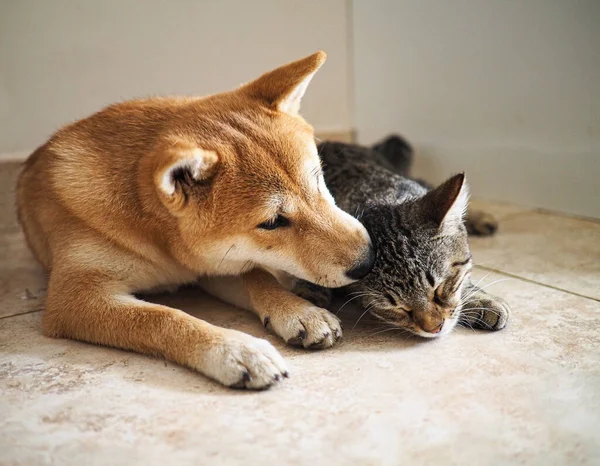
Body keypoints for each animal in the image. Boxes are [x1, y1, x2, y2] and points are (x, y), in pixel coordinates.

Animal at [16, 52, 372, 390]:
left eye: (319, 181)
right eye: (272, 222)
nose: (367, 261)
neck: (161, 243)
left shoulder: (214, 265)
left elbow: (257, 276)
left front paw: (298, 311)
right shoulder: (75, 297)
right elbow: (161, 318)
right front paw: (234, 350)